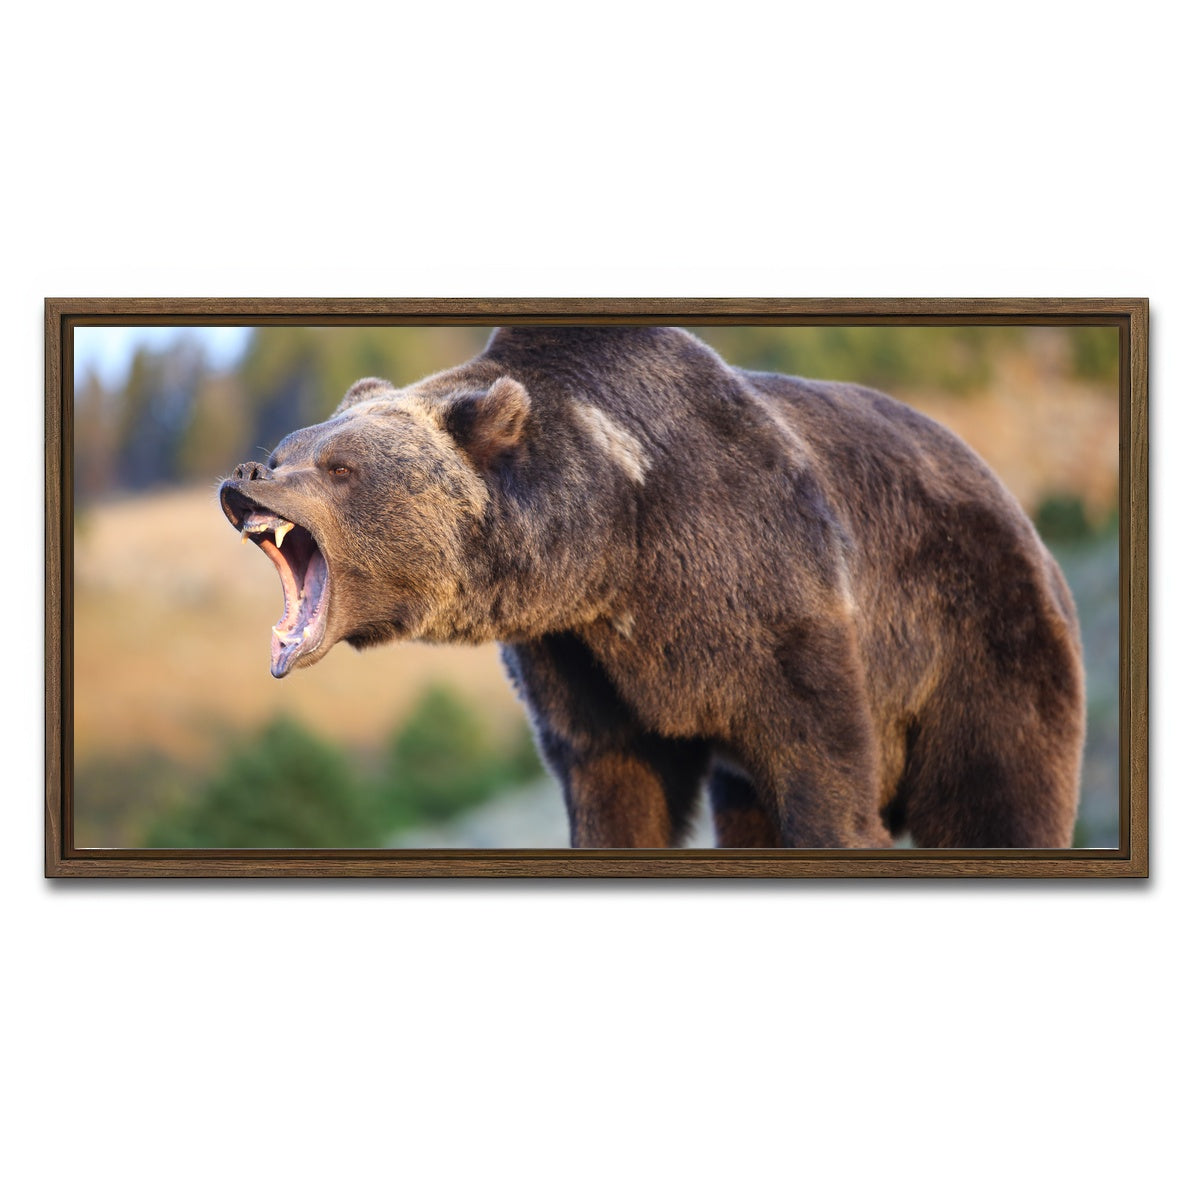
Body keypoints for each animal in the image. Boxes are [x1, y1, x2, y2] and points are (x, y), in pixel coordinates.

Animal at [219, 326, 1085, 849]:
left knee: (998, 791)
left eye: (339, 467)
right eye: (290, 447)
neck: (615, 549)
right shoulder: (578, 660)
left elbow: (824, 769)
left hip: (977, 638)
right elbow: (615, 784)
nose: (247, 474)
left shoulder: (775, 595)